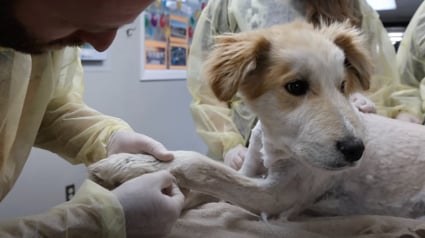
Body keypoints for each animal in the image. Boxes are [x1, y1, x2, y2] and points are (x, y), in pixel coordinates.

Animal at [87, 21, 425, 220]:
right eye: (296, 86)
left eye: (343, 86)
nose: (356, 150)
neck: (275, 144)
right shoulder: (249, 171)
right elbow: (204, 185)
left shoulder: (276, 195)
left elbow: (201, 166)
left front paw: (127, 163)